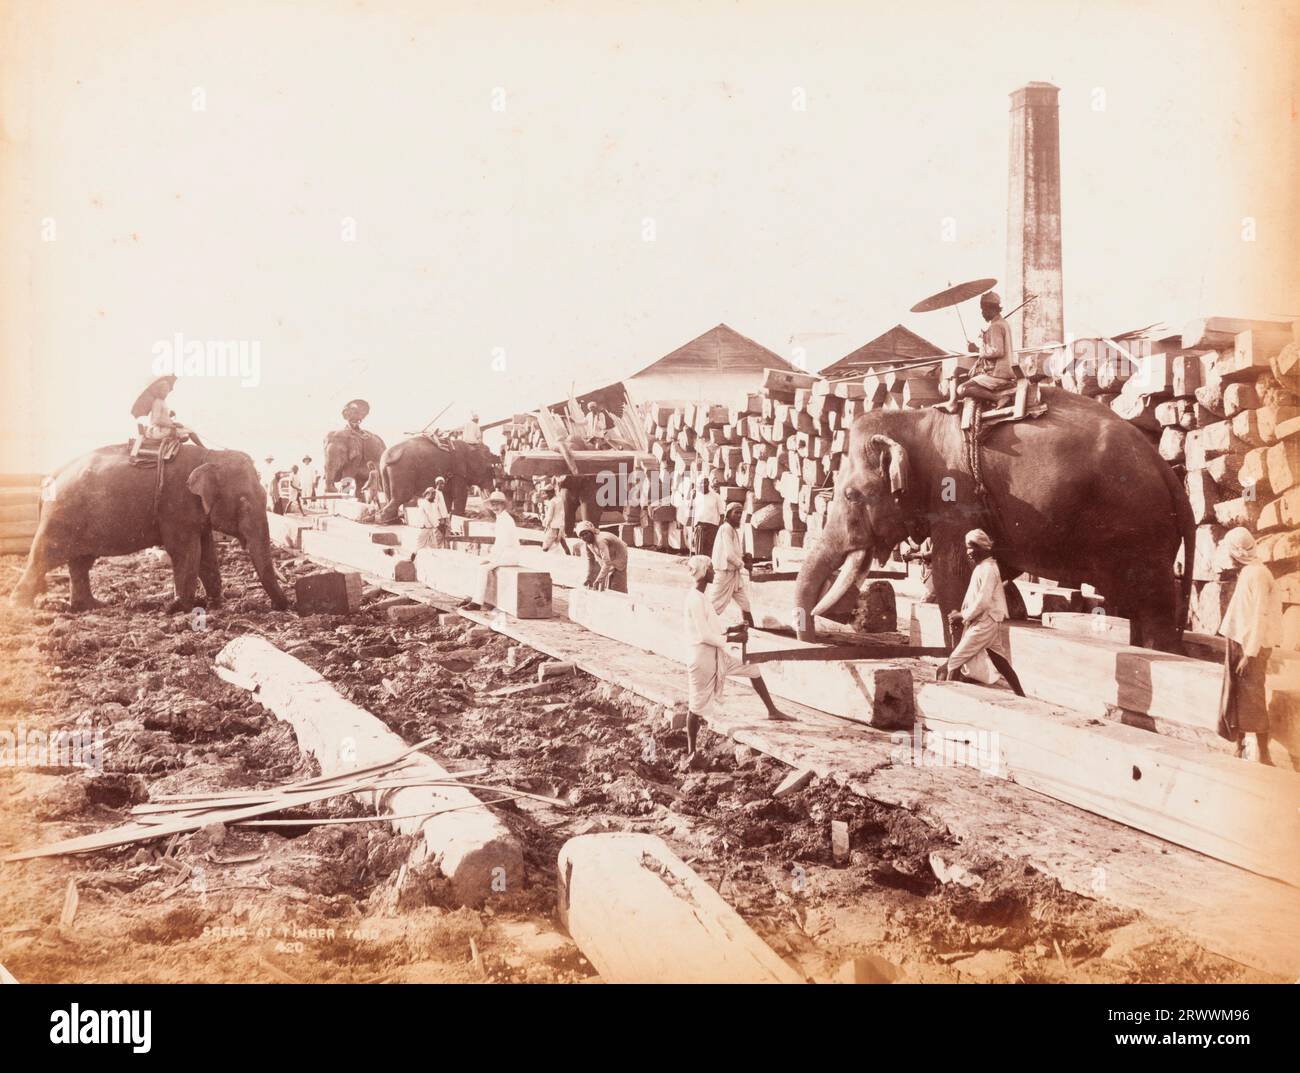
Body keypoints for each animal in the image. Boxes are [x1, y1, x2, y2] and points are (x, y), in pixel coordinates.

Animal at [12, 442, 288, 611]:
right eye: (244, 503)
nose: (281, 606)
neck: (210, 455)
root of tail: (50, 477)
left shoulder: (196, 514)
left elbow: (207, 553)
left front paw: (216, 603)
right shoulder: (176, 505)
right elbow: (186, 552)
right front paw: (178, 608)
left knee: (81, 562)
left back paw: (93, 606)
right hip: (60, 516)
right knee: (44, 556)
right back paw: (21, 606)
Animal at [785, 390, 1190, 647]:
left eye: (852, 495)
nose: (814, 639)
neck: (918, 420)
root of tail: (1167, 471)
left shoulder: (956, 494)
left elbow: (954, 572)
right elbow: (996, 564)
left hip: (1138, 530)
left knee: (1153, 605)